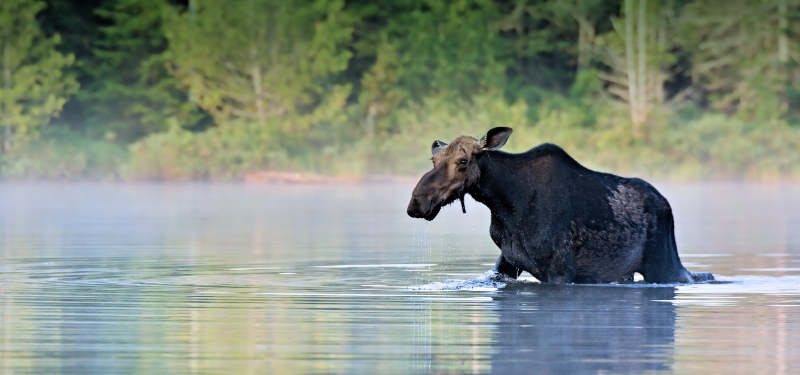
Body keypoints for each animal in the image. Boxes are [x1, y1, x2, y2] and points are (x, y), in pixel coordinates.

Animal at [410, 127, 716, 284]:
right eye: (433, 161)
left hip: (664, 262)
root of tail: (666, 206)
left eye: (463, 162)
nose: (417, 202)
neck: (504, 203)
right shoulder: (507, 262)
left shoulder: (560, 270)